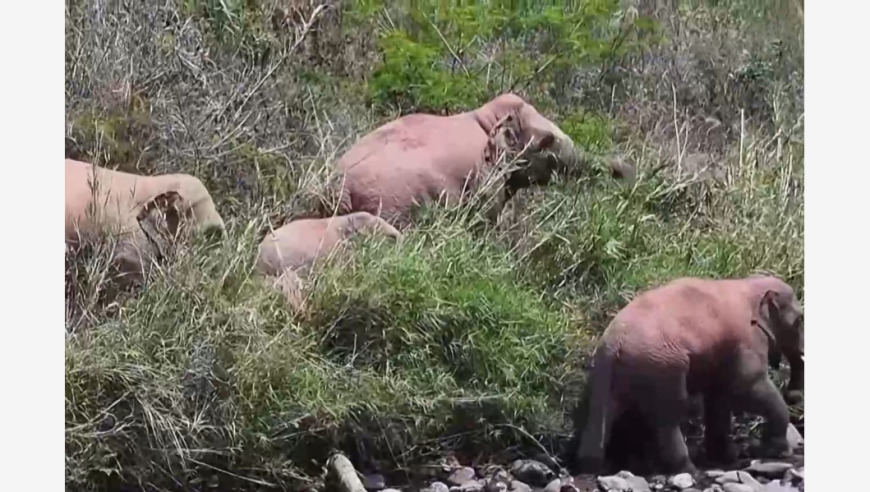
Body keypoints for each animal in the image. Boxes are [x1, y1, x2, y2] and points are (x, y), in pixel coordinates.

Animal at [576, 274, 808, 474]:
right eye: (800, 320)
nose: (793, 397)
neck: (748, 283)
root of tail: (615, 342)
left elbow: (719, 396)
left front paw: (726, 458)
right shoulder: (747, 338)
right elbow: (743, 389)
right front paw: (779, 452)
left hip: (606, 370)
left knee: (602, 410)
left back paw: (589, 467)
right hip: (663, 366)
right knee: (669, 414)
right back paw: (687, 468)